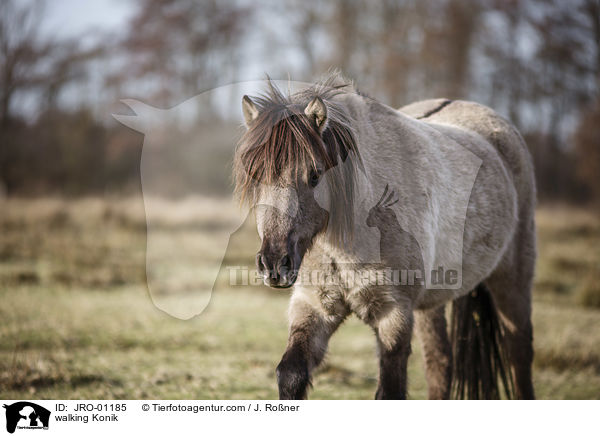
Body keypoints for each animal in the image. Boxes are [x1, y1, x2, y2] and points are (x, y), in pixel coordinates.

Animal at [232, 73, 536, 400]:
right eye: (255, 175)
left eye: (314, 175)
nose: (274, 264)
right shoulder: (314, 307)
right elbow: (290, 375)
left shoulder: (394, 313)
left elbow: (390, 390)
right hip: (432, 303)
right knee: (440, 363)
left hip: (512, 282)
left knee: (519, 355)